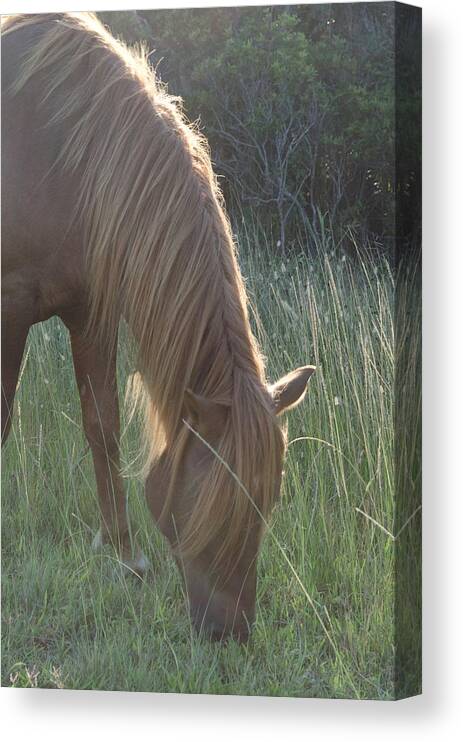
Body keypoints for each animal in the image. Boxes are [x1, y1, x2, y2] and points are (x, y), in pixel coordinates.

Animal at [1, 11, 316, 644]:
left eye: (266, 502)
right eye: (216, 502)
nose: (229, 633)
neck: (57, 153)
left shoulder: (90, 310)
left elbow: (101, 426)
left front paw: (126, 558)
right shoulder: (9, 305)